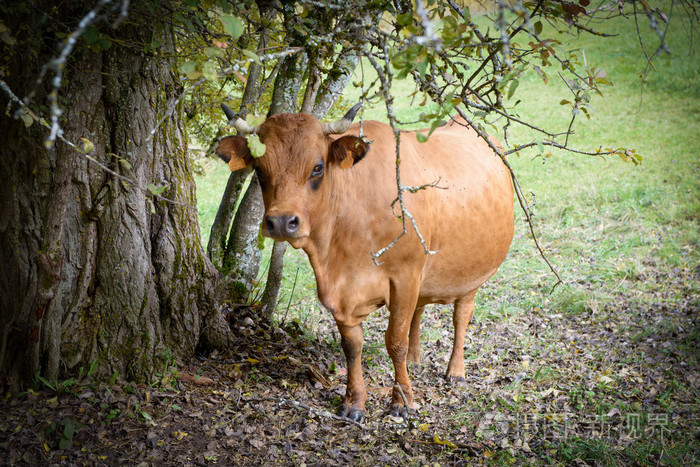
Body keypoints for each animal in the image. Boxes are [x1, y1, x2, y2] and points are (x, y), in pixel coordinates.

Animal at [215, 104, 516, 422]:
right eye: (259, 170)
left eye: (318, 167)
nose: (282, 222)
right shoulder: (341, 292)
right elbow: (352, 346)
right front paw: (355, 401)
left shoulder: (405, 276)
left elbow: (395, 341)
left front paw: (402, 400)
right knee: (420, 310)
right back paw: (415, 359)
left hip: (472, 273)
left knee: (461, 314)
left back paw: (455, 370)